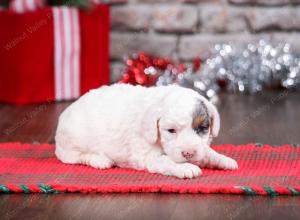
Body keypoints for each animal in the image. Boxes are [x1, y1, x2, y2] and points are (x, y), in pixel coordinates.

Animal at [54, 84, 237, 179]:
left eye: (202, 128)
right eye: (171, 130)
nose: (189, 153)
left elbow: (207, 151)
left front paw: (223, 159)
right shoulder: (147, 155)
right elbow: (167, 161)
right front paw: (186, 167)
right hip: (72, 141)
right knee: (73, 157)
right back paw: (99, 160)